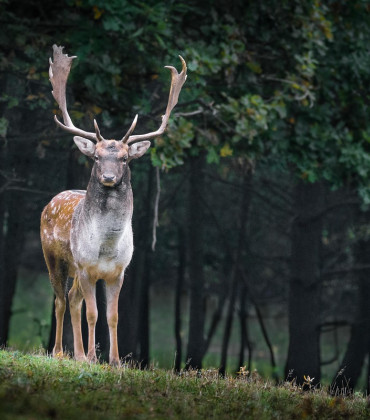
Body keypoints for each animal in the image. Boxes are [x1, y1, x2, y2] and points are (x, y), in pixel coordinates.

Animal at [41, 44, 186, 366]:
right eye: (96, 157)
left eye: (124, 158)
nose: (108, 177)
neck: (106, 247)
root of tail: (50, 202)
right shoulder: (86, 267)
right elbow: (93, 314)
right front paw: (93, 357)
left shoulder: (118, 272)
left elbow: (113, 316)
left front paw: (115, 361)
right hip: (54, 258)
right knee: (60, 300)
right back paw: (60, 352)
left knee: (72, 299)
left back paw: (77, 354)